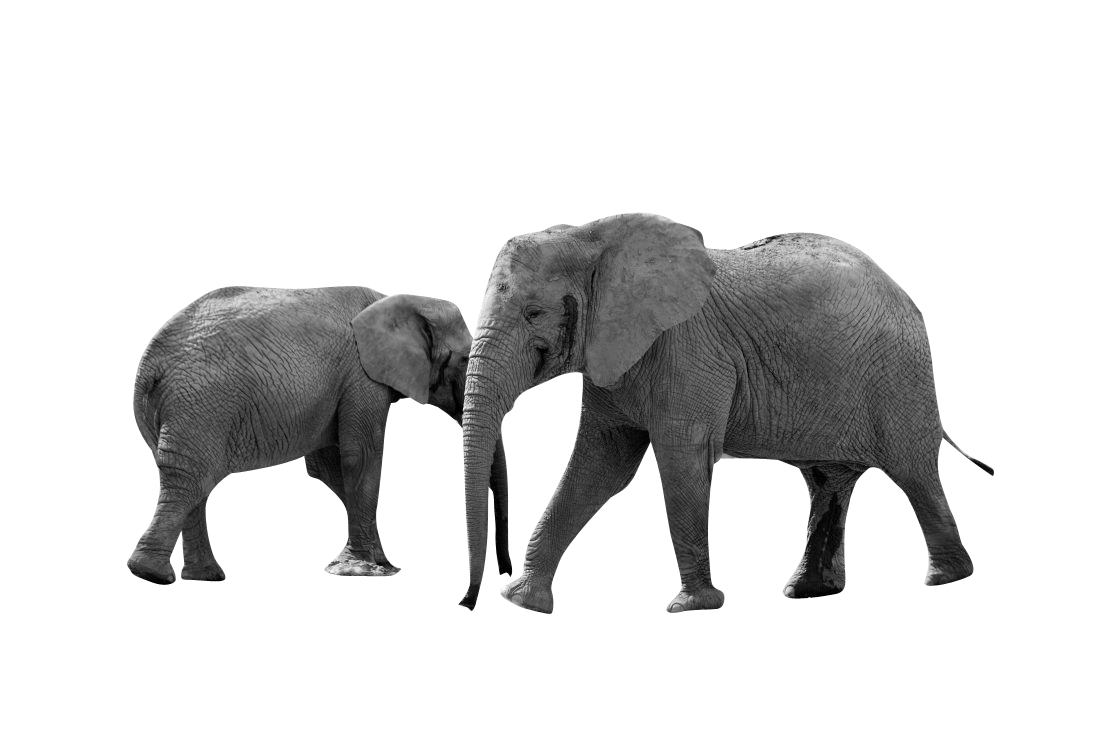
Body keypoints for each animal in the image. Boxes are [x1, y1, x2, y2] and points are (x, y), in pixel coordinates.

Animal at [128, 286, 512, 585]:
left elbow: (328, 468)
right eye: (464, 360)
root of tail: (148, 364)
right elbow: (359, 458)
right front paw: (366, 567)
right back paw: (152, 574)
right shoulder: (361, 375)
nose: (504, 574)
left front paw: (379, 563)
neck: (403, 300)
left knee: (193, 482)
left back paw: (202, 577)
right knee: (191, 479)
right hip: (201, 405)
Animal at [456, 214, 993, 613]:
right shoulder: (616, 354)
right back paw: (810, 591)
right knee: (828, 482)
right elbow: (600, 466)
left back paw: (948, 577)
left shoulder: (689, 350)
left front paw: (692, 606)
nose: (467, 602)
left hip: (899, 377)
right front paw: (524, 601)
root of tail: (907, 298)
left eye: (534, 314)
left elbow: (681, 458)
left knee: (914, 473)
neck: (592, 236)